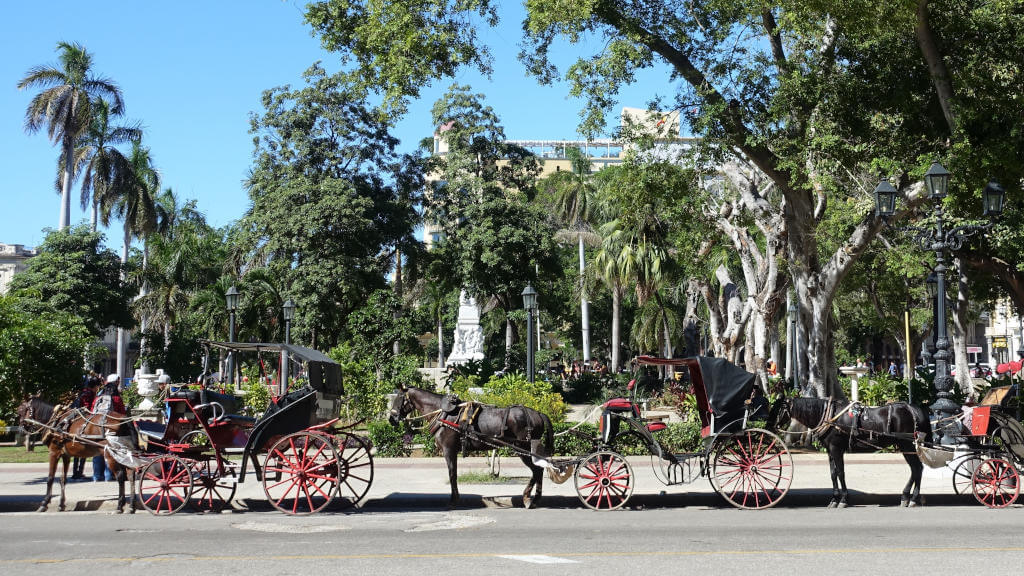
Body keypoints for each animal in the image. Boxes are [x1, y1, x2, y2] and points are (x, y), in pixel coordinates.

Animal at [389, 383, 552, 504]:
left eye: (399, 398)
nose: (391, 419)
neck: (443, 414)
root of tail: (538, 413)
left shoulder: (449, 450)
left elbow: (452, 474)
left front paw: (454, 499)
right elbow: (453, 473)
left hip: (523, 449)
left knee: (537, 470)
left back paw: (528, 497)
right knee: (539, 470)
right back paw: (535, 498)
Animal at [770, 393, 933, 506]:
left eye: (779, 407)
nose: (771, 424)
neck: (830, 417)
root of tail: (913, 409)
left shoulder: (836, 449)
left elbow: (841, 473)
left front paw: (843, 499)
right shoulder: (830, 450)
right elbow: (833, 474)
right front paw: (834, 499)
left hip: (907, 444)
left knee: (917, 468)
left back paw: (912, 498)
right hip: (905, 445)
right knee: (916, 469)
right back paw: (907, 497)